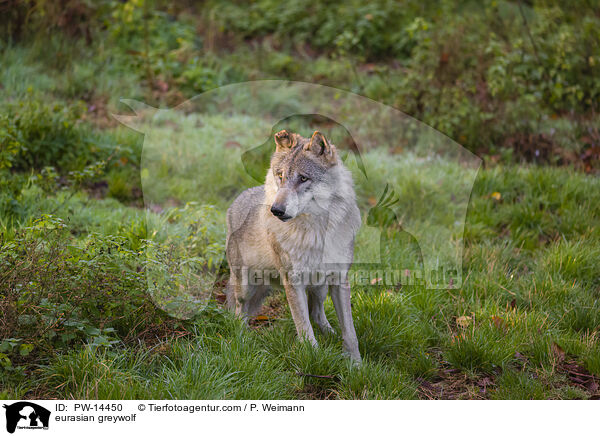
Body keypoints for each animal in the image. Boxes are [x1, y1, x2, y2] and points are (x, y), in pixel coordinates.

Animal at [226, 129, 360, 362]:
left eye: (303, 178)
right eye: (280, 176)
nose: (276, 210)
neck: (316, 232)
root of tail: (237, 200)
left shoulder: (339, 279)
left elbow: (349, 331)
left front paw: (355, 363)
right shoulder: (293, 283)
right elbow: (304, 328)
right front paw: (314, 358)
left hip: (320, 287)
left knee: (317, 313)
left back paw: (331, 335)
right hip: (245, 286)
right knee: (239, 312)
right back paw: (241, 339)